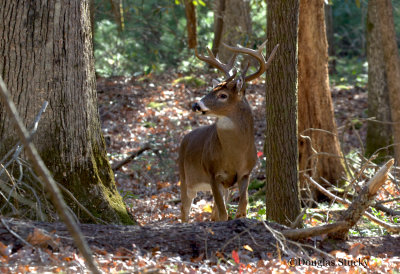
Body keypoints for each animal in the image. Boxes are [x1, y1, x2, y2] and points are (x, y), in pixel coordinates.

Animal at [178, 41, 278, 223]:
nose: (196, 105)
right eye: (211, 90)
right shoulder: (212, 172)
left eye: (223, 95)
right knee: (185, 209)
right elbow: (224, 213)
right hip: (185, 177)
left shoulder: (246, 173)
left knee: (212, 212)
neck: (234, 156)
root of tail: (185, 138)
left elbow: (242, 207)